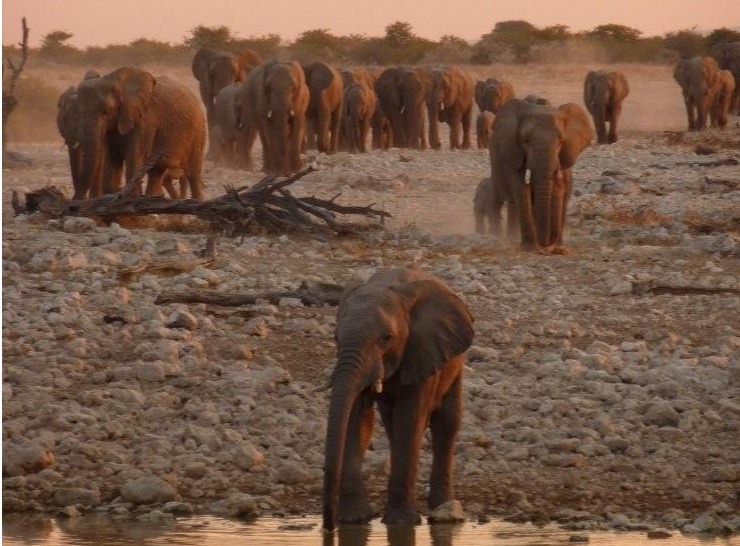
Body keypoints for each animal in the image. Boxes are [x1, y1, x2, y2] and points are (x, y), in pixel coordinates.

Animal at [75, 67, 205, 200]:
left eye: (106, 111)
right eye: (78, 111)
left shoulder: (146, 120)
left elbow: (135, 155)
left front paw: (131, 197)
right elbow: (112, 157)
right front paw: (113, 192)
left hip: (198, 133)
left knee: (193, 173)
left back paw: (197, 199)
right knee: (157, 171)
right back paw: (154, 197)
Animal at [322, 266, 474, 528]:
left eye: (387, 338)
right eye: (336, 337)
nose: (327, 527)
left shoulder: (422, 349)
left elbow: (409, 419)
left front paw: (401, 522)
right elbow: (357, 419)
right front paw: (354, 520)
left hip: (454, 357)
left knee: (447, 421)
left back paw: (443, 506)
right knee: (391, 423)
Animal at [486, 98, 596, 249]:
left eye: (561, 141)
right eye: (526, 140)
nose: (545, 243)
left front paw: (552, 246)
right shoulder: (513, 152)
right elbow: (520, 189)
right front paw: (530, 248)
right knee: (502, 200)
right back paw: (506, 238)